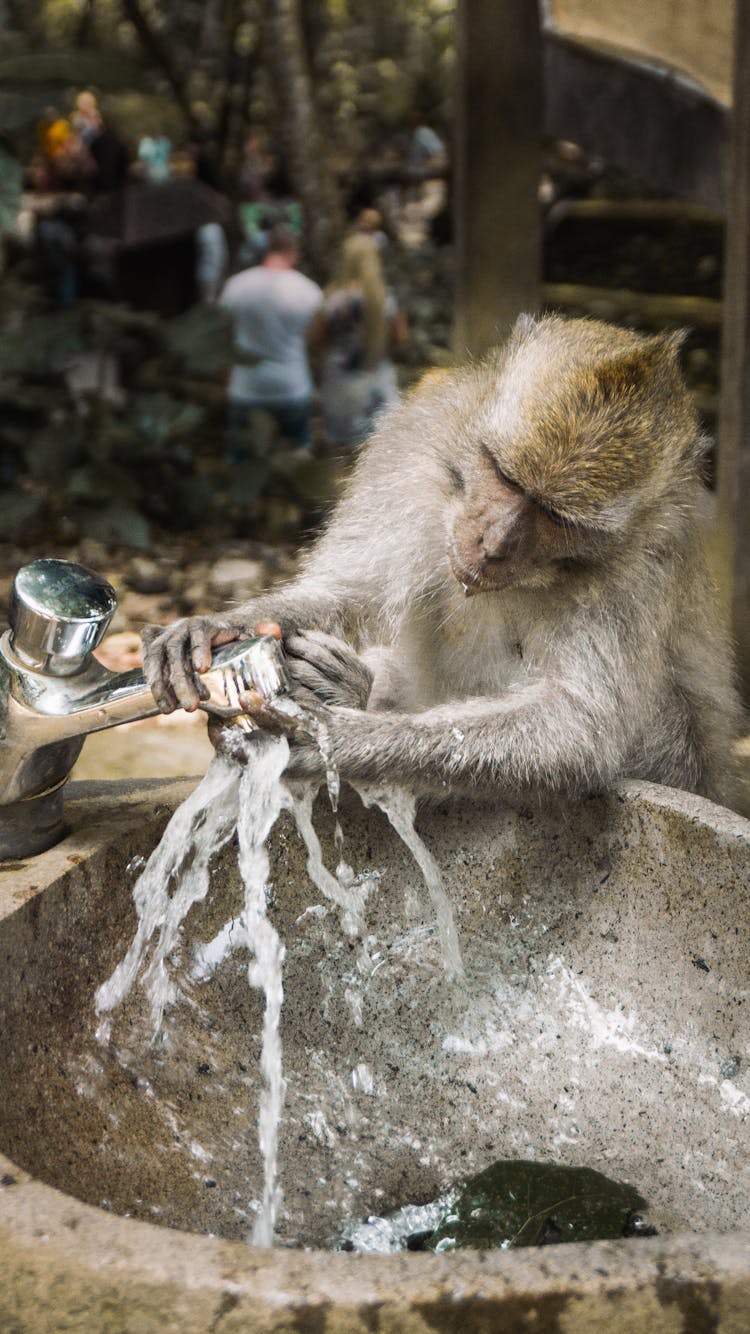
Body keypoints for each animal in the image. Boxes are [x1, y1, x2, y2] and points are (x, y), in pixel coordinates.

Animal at [141, 316, 741, 805]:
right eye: (503, 475)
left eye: (555, 516)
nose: (492, 545)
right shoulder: (415, 443)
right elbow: (351, 587)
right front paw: (215, 629)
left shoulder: (645, 561)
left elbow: (576, 729)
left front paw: (336, 736)